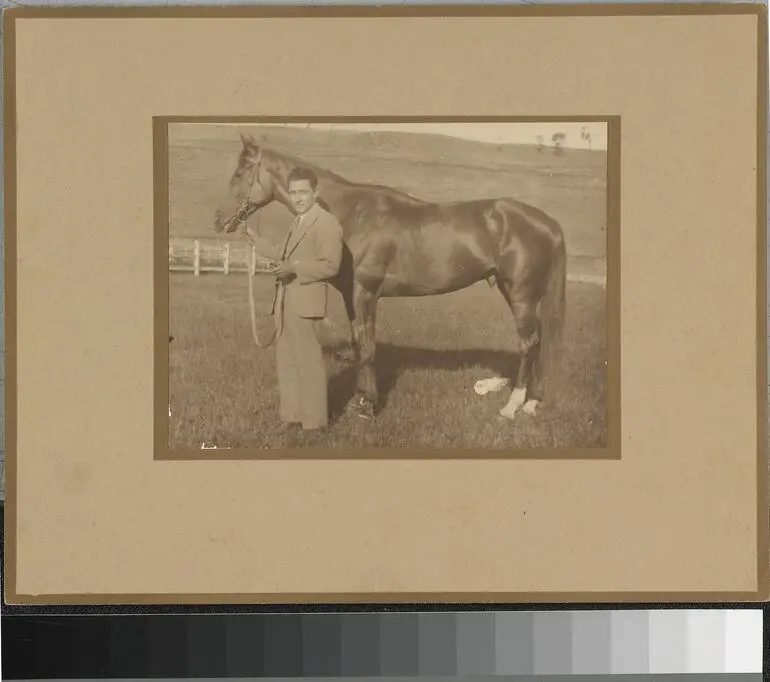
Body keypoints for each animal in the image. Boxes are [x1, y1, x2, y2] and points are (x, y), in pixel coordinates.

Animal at [213, 133, 568, 420]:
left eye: (241, 172)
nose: (218, 219)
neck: (350, 214)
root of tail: (548, 223)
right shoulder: (351, 296)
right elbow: (360, 346)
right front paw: (360, 398)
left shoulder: (365, 292)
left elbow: (368, 348)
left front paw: (369, 406)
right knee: (538, 344)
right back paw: (532, 403)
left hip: (521, 296)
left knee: (529, 344)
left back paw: (512, 406)